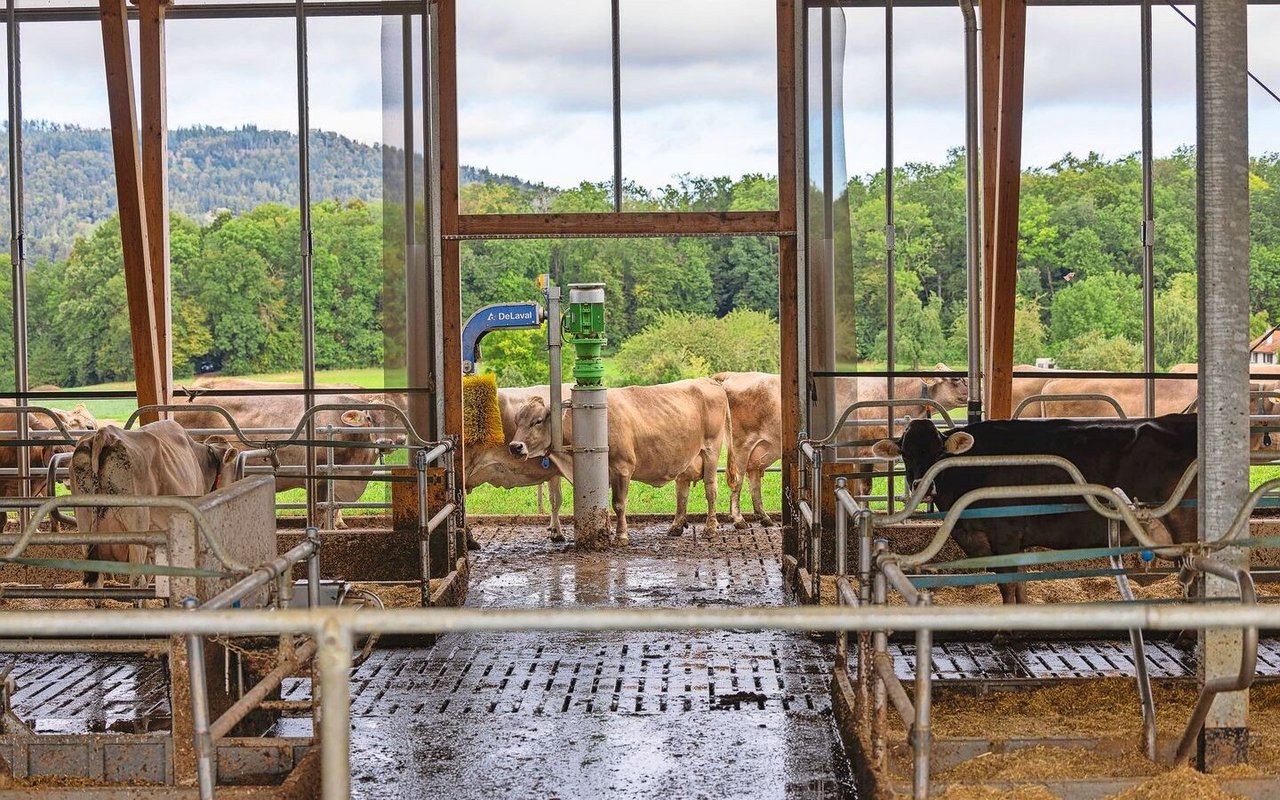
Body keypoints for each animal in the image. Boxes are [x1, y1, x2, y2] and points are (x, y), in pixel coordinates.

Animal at [509, 378, 732, 542]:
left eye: (537, 421)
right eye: (517, 421)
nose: (515, 446)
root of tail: (708, 381)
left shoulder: (622, 468)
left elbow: (619, 504)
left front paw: (621, 535)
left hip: (711, 451)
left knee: (711, 490)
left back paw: (710, 528)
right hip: (686, 458)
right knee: (682, 491)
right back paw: (676, 526)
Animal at [875, 414, 1192, 601]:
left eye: (940, 453)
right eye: (905, 453)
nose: (923, 486)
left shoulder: (1005, 533)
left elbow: (1008, 582)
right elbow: (1020, 582)